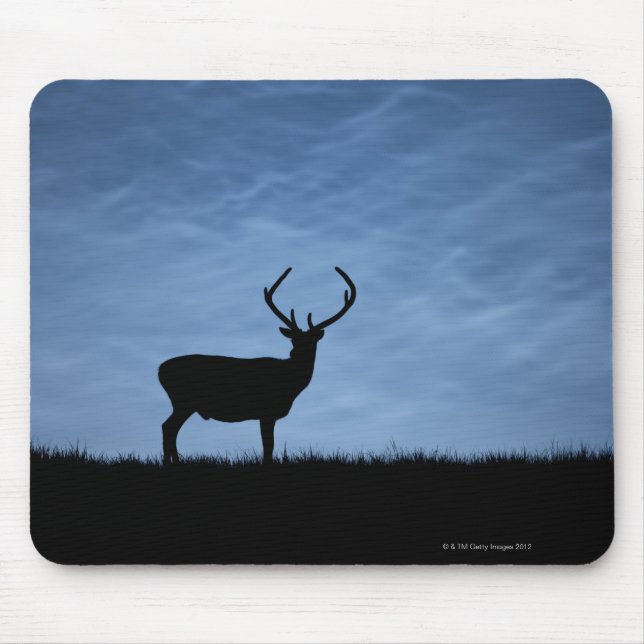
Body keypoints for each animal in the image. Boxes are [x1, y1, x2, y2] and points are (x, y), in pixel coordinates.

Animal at [158, 267, 356, 465]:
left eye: (312, 342)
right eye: (293, 340)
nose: (295, 353)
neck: (290, 386)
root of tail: (160, 370)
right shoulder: (266, 411)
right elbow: (269, 447)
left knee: (169, 428)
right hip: (183, 400)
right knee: (168, 427)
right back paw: (171, 463)